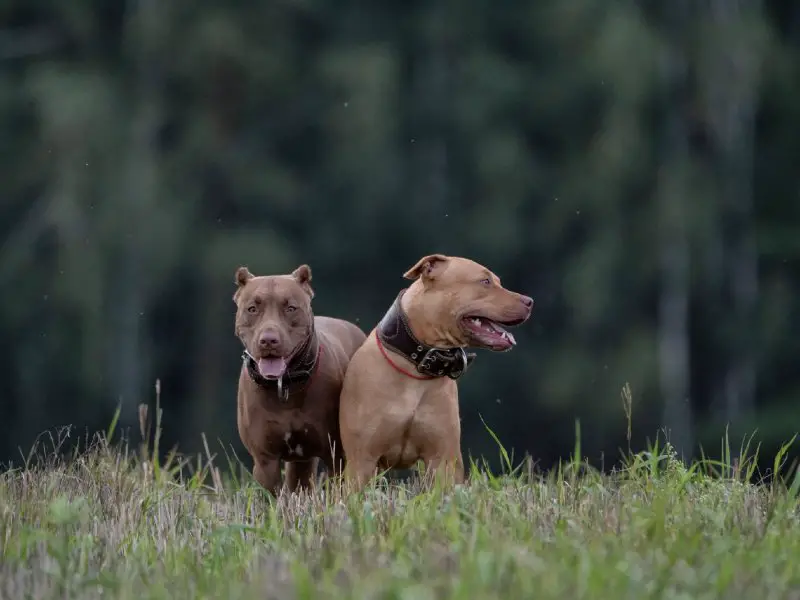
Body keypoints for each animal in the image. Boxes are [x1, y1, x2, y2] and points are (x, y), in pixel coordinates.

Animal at [233, 264, 368, 494]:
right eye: (252, 309)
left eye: (291, 308)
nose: (268, 340)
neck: (285, 386)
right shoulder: (265, 461)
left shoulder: (336, 455)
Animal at [336, 253, 532, 488]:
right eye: (485, 281)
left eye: (498, 282)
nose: (529, 301)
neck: (416, 366)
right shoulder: (362, 461)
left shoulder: (443, 459)